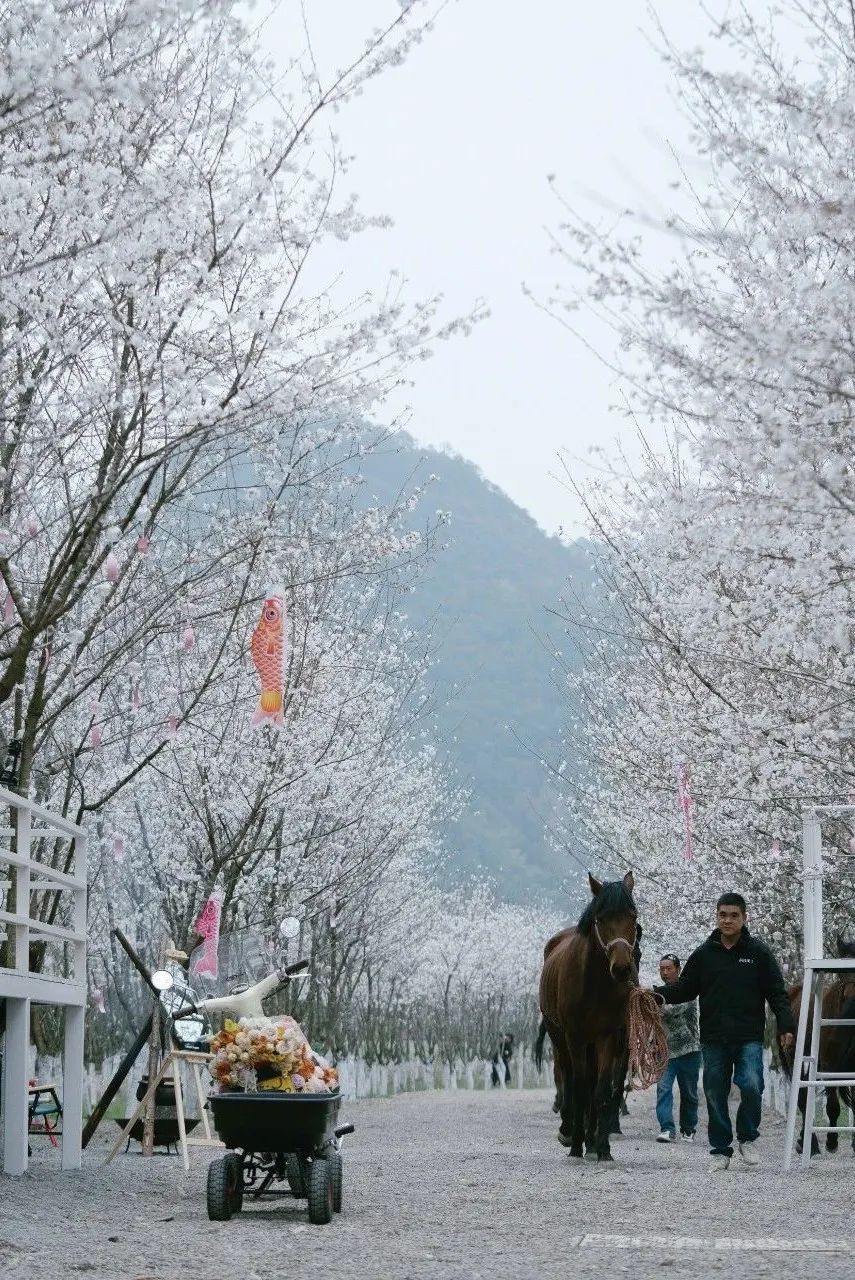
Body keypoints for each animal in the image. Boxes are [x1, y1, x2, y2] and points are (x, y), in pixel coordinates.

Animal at [537, 870, 637, 1162]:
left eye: (633, 916)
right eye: (601, 919)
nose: (622, 968)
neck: (596, 985)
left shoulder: (609, 1036)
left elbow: (601, 1090)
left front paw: (602, 1148)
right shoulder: (576, 1036)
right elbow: (579, 1087)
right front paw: (575, 1146)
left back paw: (591, 1140)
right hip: (559, 1037)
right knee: (566, 1075)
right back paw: (569, 1131)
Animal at [783, 936, 855, 1157]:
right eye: (840, 974)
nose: (852, 999)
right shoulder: (829, 1065)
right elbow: (832, 1106)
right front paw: (832, 1141)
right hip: (795, 1060)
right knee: (802, 1099)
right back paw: (810, 1143)